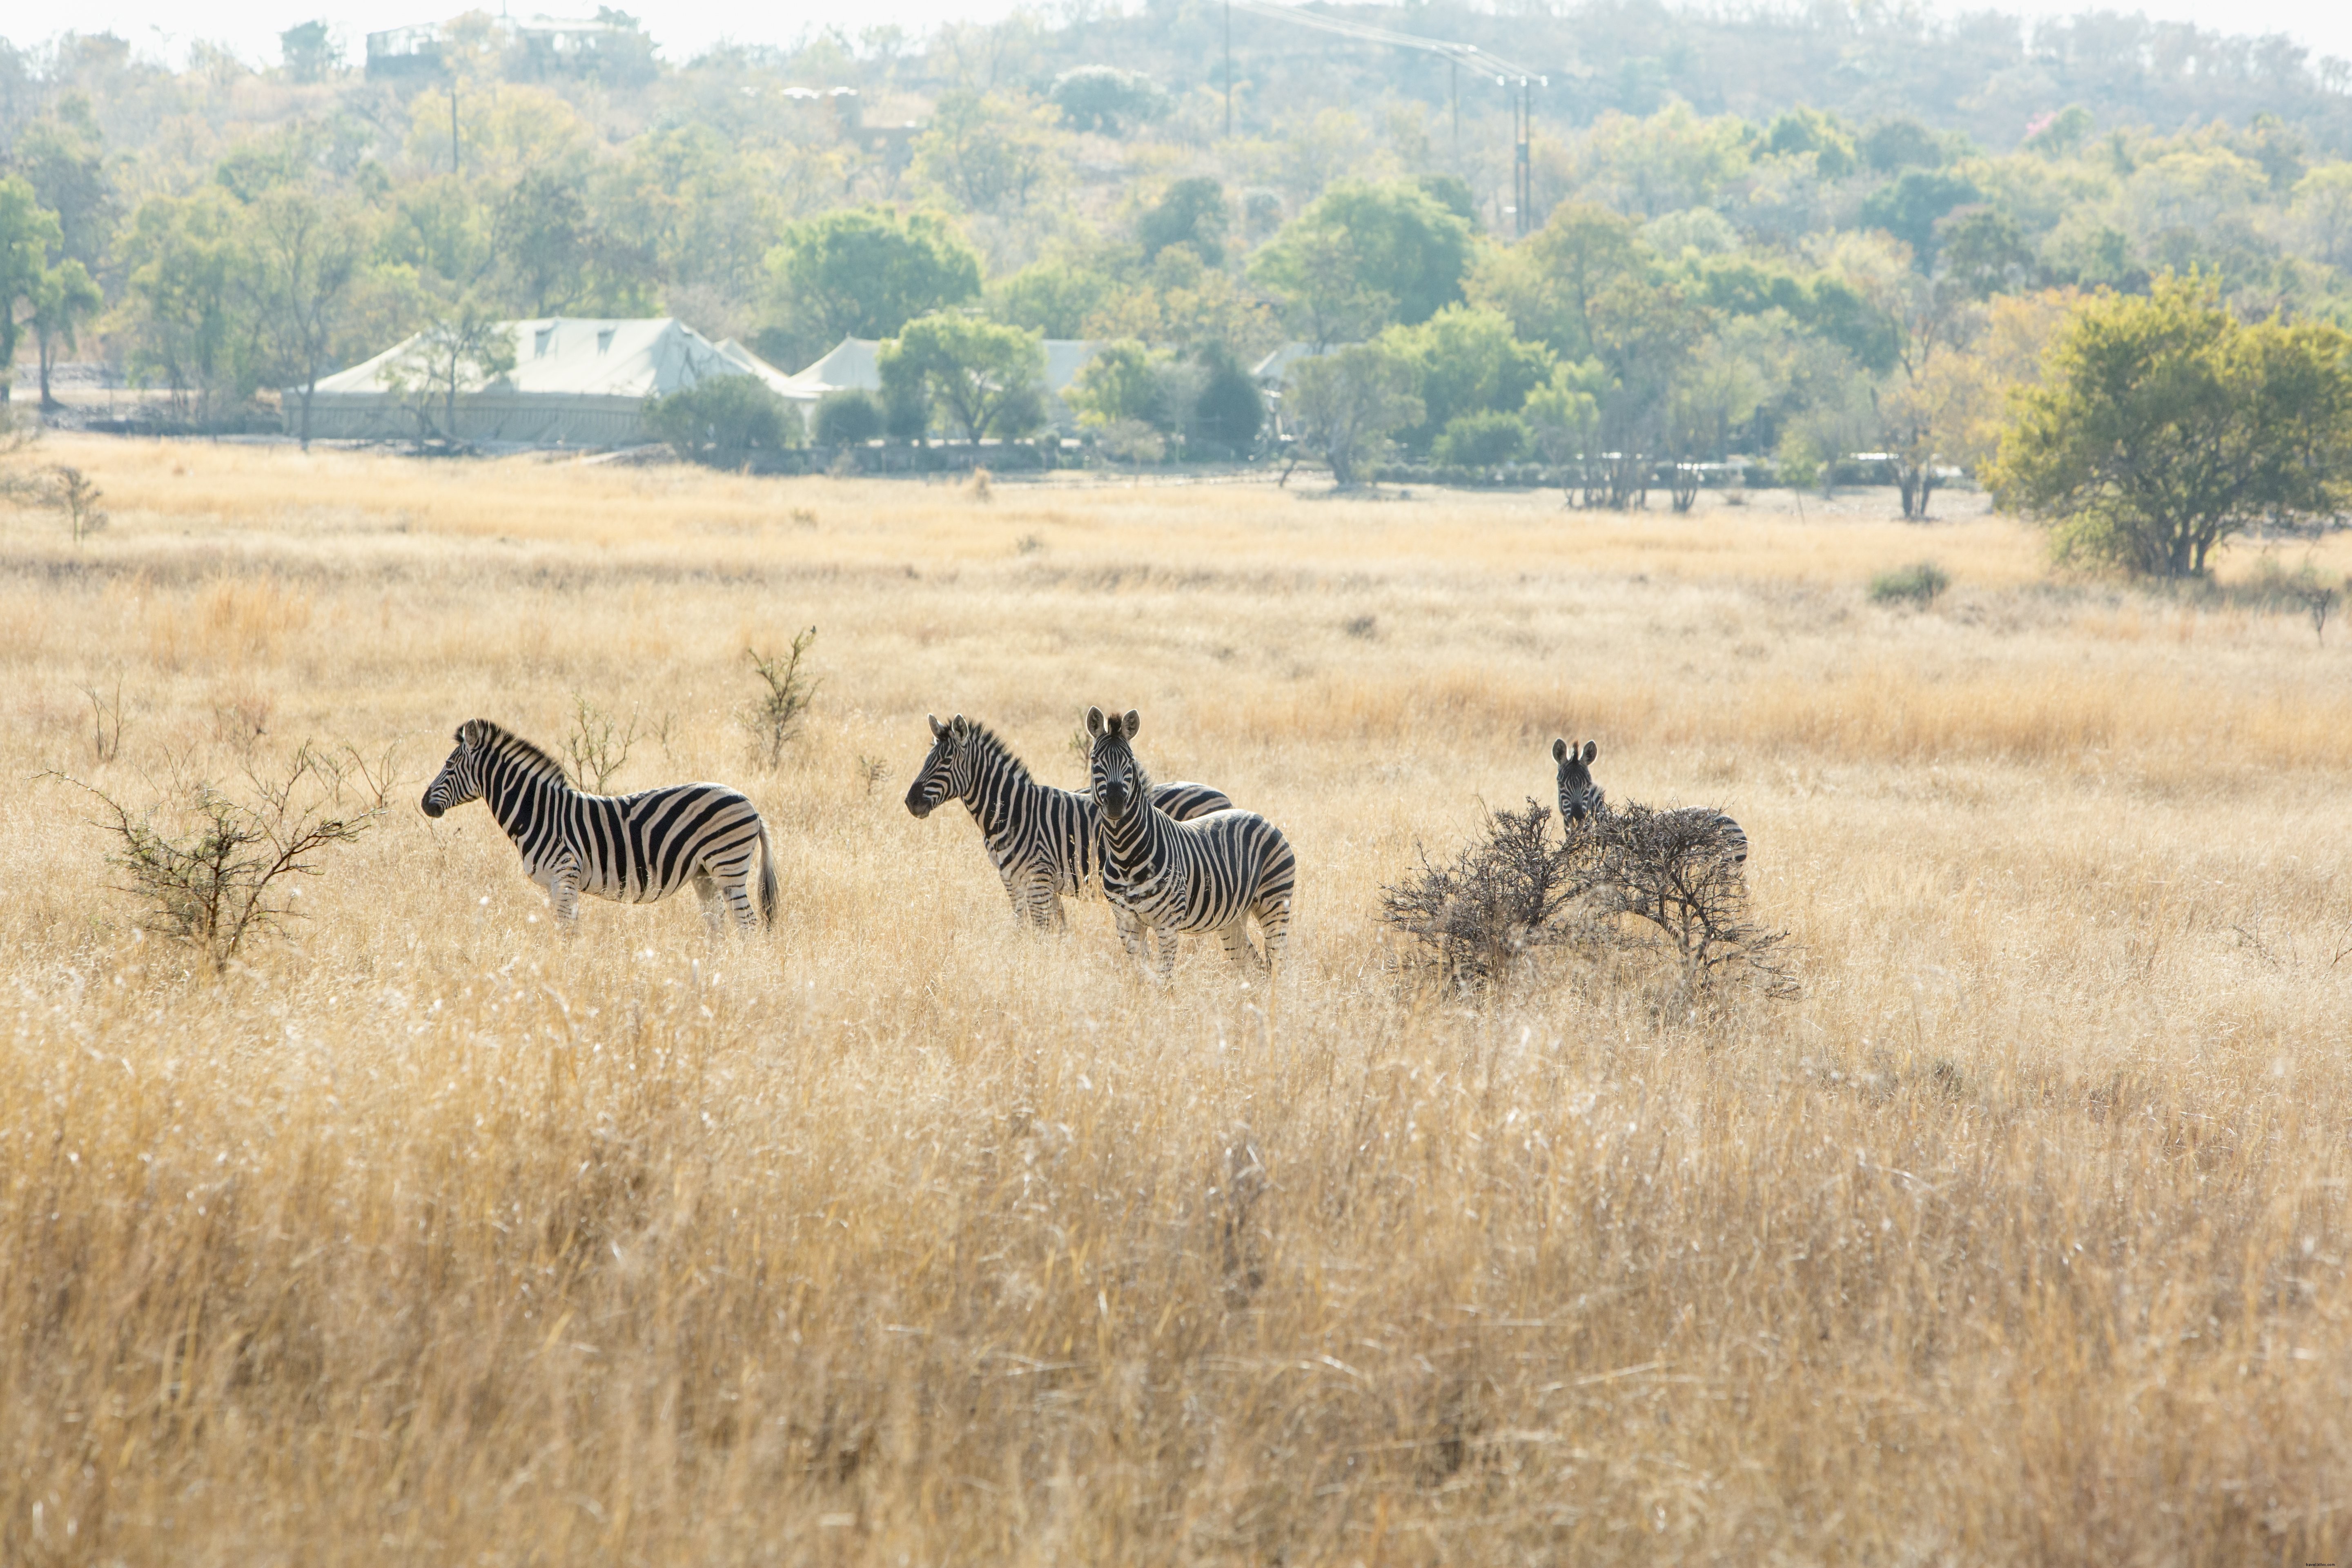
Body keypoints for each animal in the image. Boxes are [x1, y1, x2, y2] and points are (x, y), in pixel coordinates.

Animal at [421, 718, 778, 931]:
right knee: (717, 925)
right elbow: (566, 930)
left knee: (747, 924)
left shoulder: (565, 875)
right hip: (705, 875)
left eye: (449, 765)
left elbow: (565, 932)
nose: (425, 804)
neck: (539, 813)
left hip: (728, 866)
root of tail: (750, 804)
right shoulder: (555, 884)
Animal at [904, 712, 1232, 930]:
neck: (1012, 812)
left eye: (946, 762)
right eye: (927, 759)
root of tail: (1223, 799)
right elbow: (1034, 929)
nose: (911, 802)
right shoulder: (1014, 880)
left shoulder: (1038, 879)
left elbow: (1041, 931)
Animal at [1086, 705, 1295, 979]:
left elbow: (1164, 981)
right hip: (1234, 919)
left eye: (1130, 761)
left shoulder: (1167, 924)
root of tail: (1261, 817)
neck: (1124, 853)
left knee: (1279, 963)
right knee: (1254, 965)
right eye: (1094, 761)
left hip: (1275, 902)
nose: (1115, 804)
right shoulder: (1126, 923)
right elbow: (1141, 977)